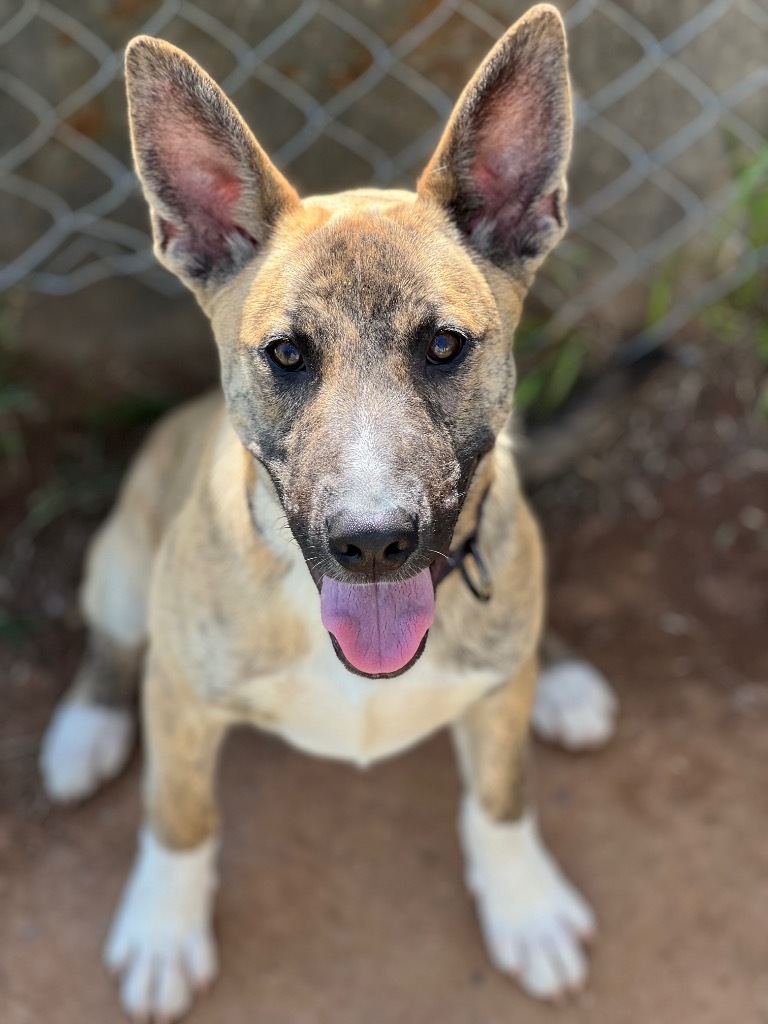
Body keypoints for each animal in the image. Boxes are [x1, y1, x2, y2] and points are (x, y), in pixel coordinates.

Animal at [39, 6, 618, 1015]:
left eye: (444, 345)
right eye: (286, 355)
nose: (374, 543)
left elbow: (502, 797)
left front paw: (526, 905)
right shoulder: (181, 698)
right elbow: (179, 812)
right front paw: (162, 931)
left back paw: (561, 678)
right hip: (118, 569)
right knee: (113, 647)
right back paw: (85, 730)